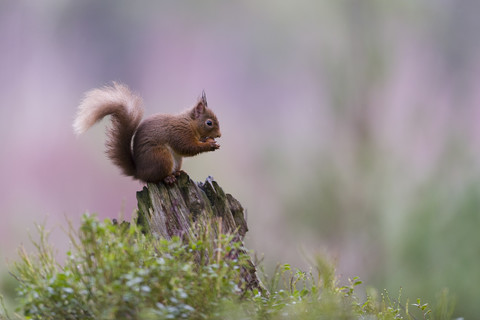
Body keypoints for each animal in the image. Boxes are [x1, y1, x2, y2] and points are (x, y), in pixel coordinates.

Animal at [73, 81, 221, 184]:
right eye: (209, 123)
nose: (219, 135)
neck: (189, 123)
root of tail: (140, 173)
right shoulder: (179, 133)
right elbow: (187, 147)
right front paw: (209, 145)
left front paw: (210, 141)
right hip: (161, 157)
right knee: (157, 178)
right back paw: (168, 178)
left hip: (176, 160)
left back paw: (177, 173)